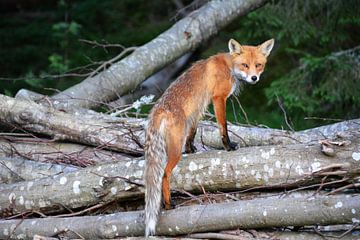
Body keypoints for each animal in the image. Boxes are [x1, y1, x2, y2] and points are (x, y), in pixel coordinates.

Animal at [142, 38, 274, 236]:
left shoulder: (199, 107)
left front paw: (191, 149)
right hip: (174, 150)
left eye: (258, 65)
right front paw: (228, 146)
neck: (229, 66)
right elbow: (223, 127)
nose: (254, 78)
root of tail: (158, 110)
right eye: (245, 65)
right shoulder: (219, 98)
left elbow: (194, 131)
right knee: (164, 175)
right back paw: (168, 204)